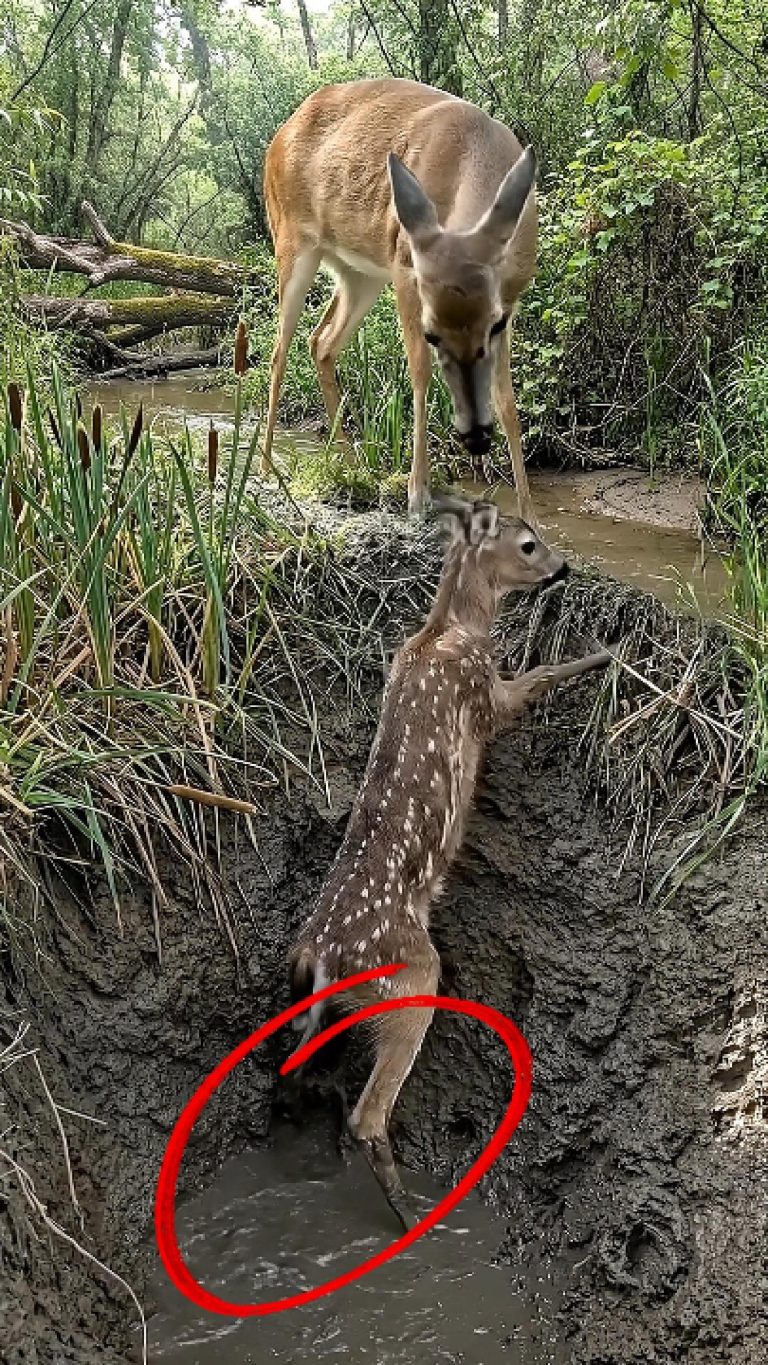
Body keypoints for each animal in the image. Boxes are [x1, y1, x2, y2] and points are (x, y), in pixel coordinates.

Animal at [261, 78, 538, 521]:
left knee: (321, 341)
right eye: (432, 333)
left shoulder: (510, 302)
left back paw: (350, 468)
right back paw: (268, 468)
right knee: (278, 352)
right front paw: (416, 494)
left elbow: (508, 401)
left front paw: (531, 518)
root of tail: (279, 135)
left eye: (493, 322)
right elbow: (420, 374)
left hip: (360, 273)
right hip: (291, 240)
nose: (476, 437)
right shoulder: (406, 270)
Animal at [287, 497, 613, 1229]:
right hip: (408, 978)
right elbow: (531, 683)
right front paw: (601, 655)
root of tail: (319, 955)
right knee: (367, 1112)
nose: (563, 567)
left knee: (301, 1077)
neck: (448, 630)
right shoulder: (483, 695)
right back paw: (410, 1216)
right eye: (529, 543)